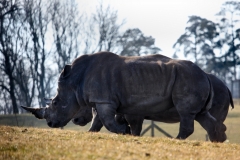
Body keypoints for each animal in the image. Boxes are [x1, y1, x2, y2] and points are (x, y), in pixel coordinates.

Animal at [22, 52, 216, 141]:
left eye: (55, 103)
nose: (50, 124)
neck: (75, 81)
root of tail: (205, 74)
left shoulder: (104, 100)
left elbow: (107, 121)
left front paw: (125, 132)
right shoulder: (100, 100)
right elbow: (97, 121)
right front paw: (90, 134)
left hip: (188, 79)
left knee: (186, 113)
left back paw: (176, 140)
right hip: (193, 79)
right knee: (202, 115)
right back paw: (216, 142)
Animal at [71, 73, 234, 142]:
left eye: (79, 105)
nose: (75, 120)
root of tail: (227, 87)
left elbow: (134, 127)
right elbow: (99, 122)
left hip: (216, 93)